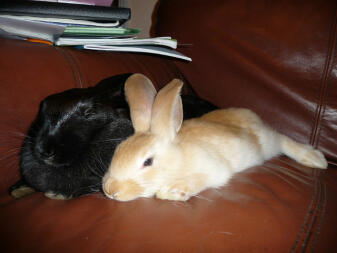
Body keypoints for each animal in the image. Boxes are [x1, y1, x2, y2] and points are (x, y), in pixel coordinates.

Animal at [101, 73, 326, 202]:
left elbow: (201, 179)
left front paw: (172, 192)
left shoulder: (213, 170)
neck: (177, 159)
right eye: (117, 151)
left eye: (147, 162)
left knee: (283, 140)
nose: (110, 190)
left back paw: (316, 159)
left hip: (268, 143)